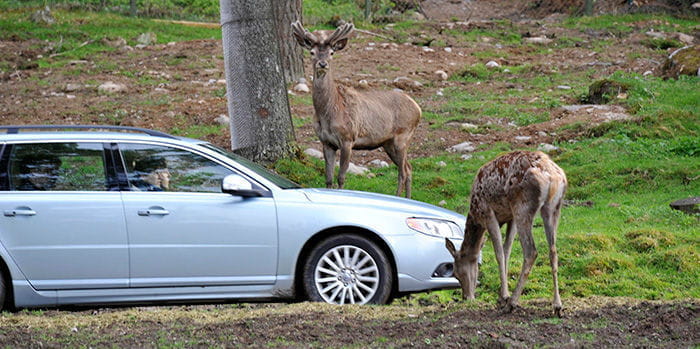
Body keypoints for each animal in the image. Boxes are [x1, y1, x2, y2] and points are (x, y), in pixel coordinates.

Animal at [292, 20, 422, 197]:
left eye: (332, 53)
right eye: (312, 52)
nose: (322, 64)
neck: (328, 113)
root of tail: (418, 108)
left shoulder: (348, 138)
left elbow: (341, 177)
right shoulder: (326, 142)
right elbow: (328, 178)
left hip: (402, 137)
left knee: (402, 171)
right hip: (388, 143)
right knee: (409, 168)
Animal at [446, 150, 568, 316]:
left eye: (456, 274)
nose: (466, 297)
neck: (475, 214)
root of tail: (552, 177)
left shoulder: (488, 213)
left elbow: (499, 254)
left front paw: (504, 297)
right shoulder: (511, 218)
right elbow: (507, 251)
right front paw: (501, 297)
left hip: (522, 206)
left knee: (531, 252)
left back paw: (512, 303)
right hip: (553, 208)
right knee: (553, 251)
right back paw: (557, 306)